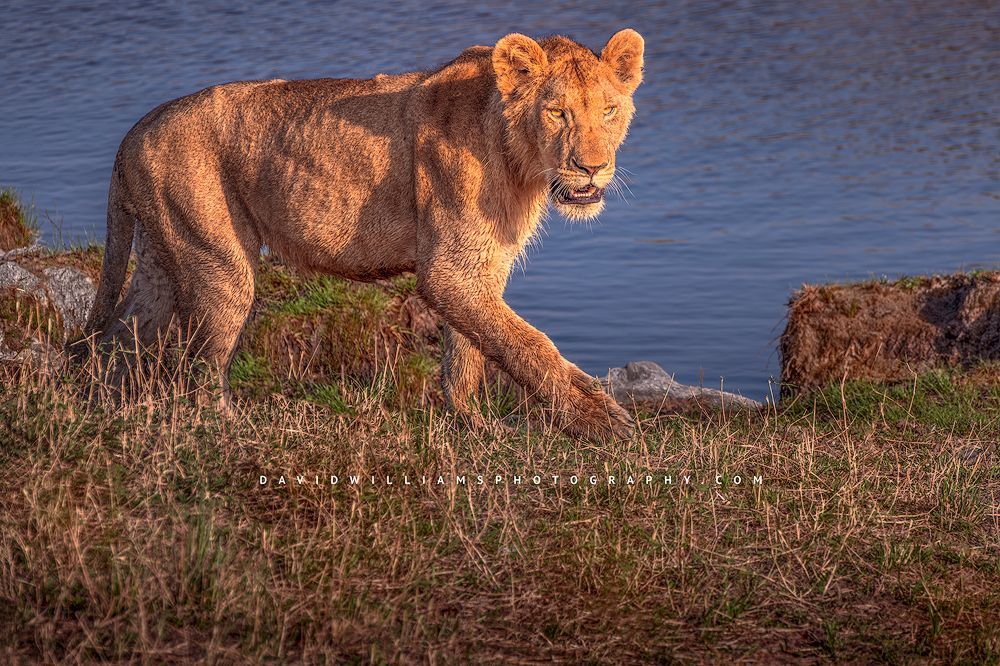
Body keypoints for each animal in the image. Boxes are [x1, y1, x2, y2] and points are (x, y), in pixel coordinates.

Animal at [82, 30, 645, 440]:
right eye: (556, 112)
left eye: (609, 110)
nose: (591, 168)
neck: (518, 159)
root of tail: (136, 129)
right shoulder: (449, 269)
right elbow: (528, 344)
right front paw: (601, 420)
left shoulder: (484, 266)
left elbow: (468, 350)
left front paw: (471, 425)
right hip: (218, 262)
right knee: (199, 369)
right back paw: (227, 430)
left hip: (160, 258)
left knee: (118, 339)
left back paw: (98, 410)